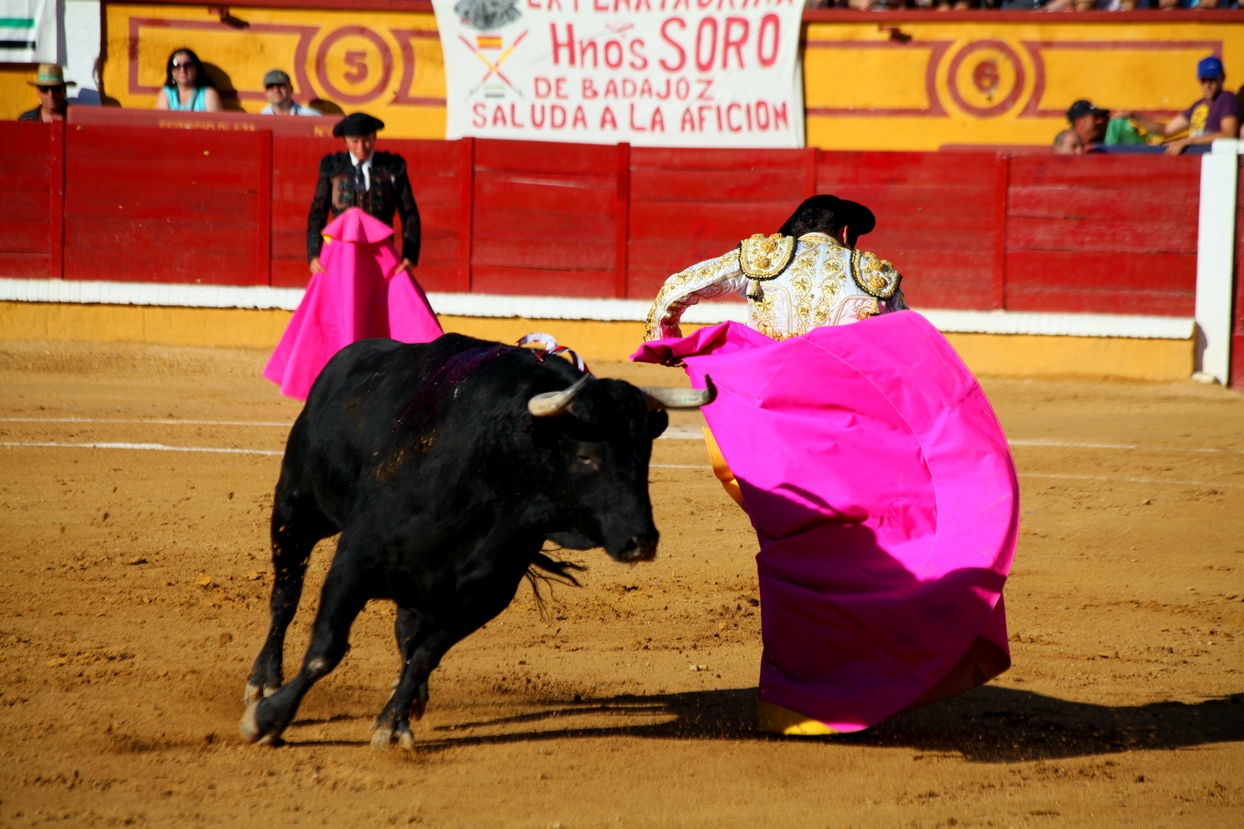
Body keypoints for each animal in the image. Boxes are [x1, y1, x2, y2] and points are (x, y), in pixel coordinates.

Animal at [238, 333, 716, 746]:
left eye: (644, 454)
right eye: (586, 456)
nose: (641, 541)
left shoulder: (484, 595)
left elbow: (425, 654)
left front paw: (393, 722)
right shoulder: (355, 561)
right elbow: (326, 649)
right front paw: (267, 720)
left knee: (406, 628)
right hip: (296, 509)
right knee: (285, 596)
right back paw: (262, 683)